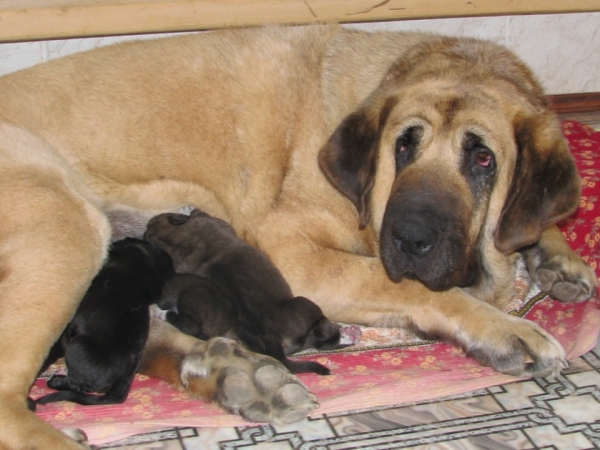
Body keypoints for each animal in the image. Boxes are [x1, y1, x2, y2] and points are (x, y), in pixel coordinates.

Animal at [145, 211, 360, 376]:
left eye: (147, 231)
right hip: (306, 306)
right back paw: (350, 333)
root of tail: (270, 336)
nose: (145, 229)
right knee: (326, 336)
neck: (176, 239)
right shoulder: (218, 223)